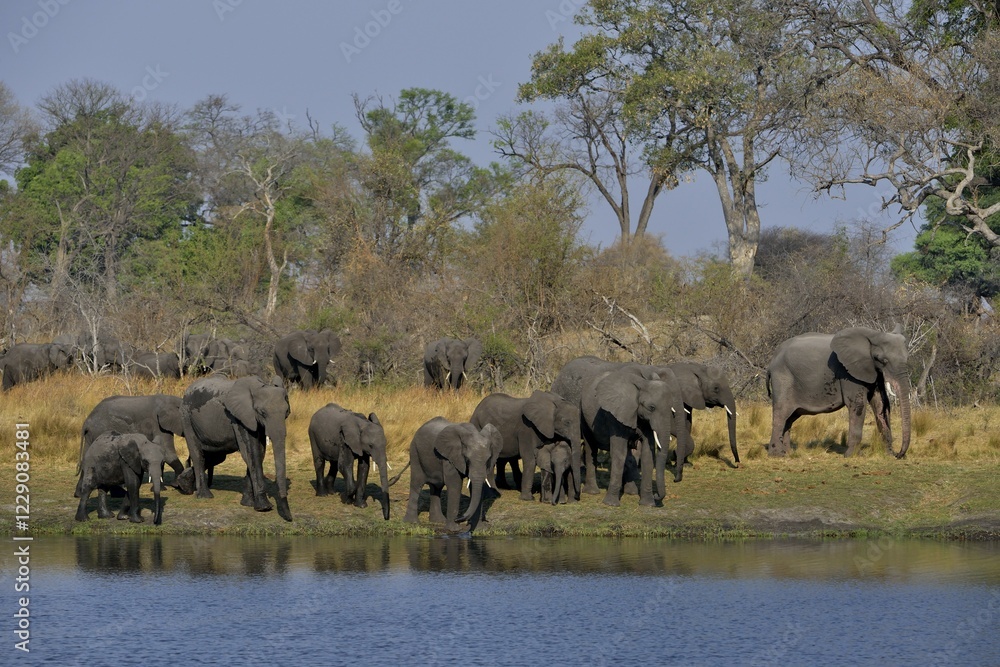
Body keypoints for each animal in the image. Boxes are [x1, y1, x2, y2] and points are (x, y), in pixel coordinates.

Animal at [180, 375, 293, 521]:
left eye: (286, 412)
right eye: (262, 412)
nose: (290, 518)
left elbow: (259, 453)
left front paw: (248, 503)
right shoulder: (238, 418)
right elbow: (251, 453)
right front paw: (264, 507)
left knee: (215, 457)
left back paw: (183, 484)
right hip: (186, 417)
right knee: (197, 454)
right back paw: (204, 496)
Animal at [581, 368, 691, 506]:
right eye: (651, 408)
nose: (656, 495)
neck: (643, 384)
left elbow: (647, 454)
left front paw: (648, 504)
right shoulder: (617, 415)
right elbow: (619, 453)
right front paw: (611, 504)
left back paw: (630, 491)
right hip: (584, 416)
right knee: (591, 447)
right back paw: (592, 492)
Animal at [767, 325, 912, 459]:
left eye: (907, 358)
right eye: (882, 360)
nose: (899, 454)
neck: (873, 335)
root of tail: (772, 359)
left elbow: (881, 404)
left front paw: (888, 455)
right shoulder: (847, 371)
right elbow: (858, 405)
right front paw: (852, 456)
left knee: (790, 417)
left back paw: (788, 453)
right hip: (782, 378)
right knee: (781, 413)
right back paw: (777, 455)